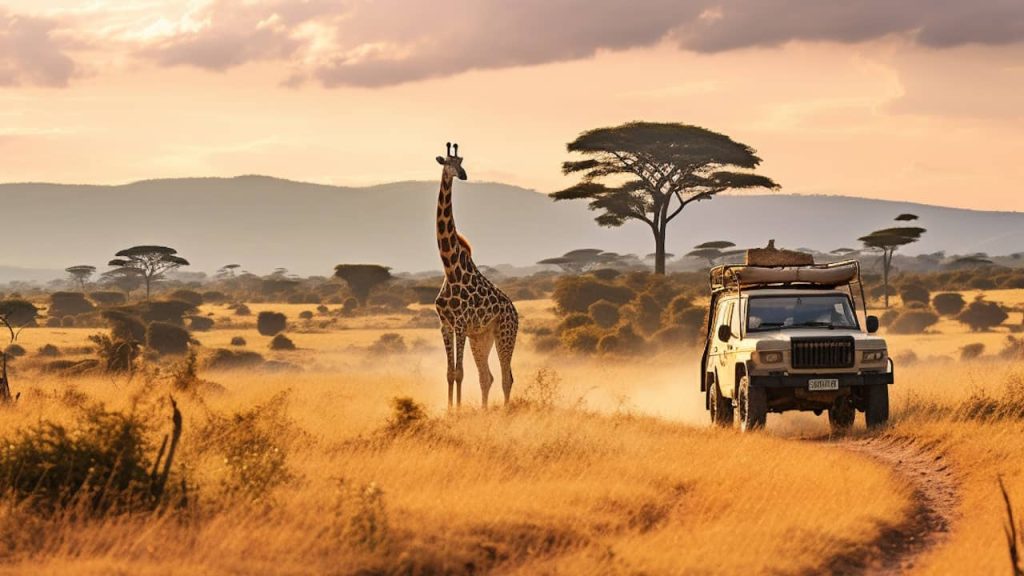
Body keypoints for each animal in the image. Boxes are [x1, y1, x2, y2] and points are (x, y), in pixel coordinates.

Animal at [433, 142, 519, 408]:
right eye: (448, 163)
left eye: (461, 162)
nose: (463, 175)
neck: (450, 268)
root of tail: (515, 311)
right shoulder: (445, 324)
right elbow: (449, 372)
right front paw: (450, 410)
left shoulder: (460, 323)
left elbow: (459, 372)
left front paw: (458, 410)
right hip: (481, 338)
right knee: (486, 377)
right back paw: (483, 410)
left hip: (505, 332)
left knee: (506, 377)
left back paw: (505, 411)